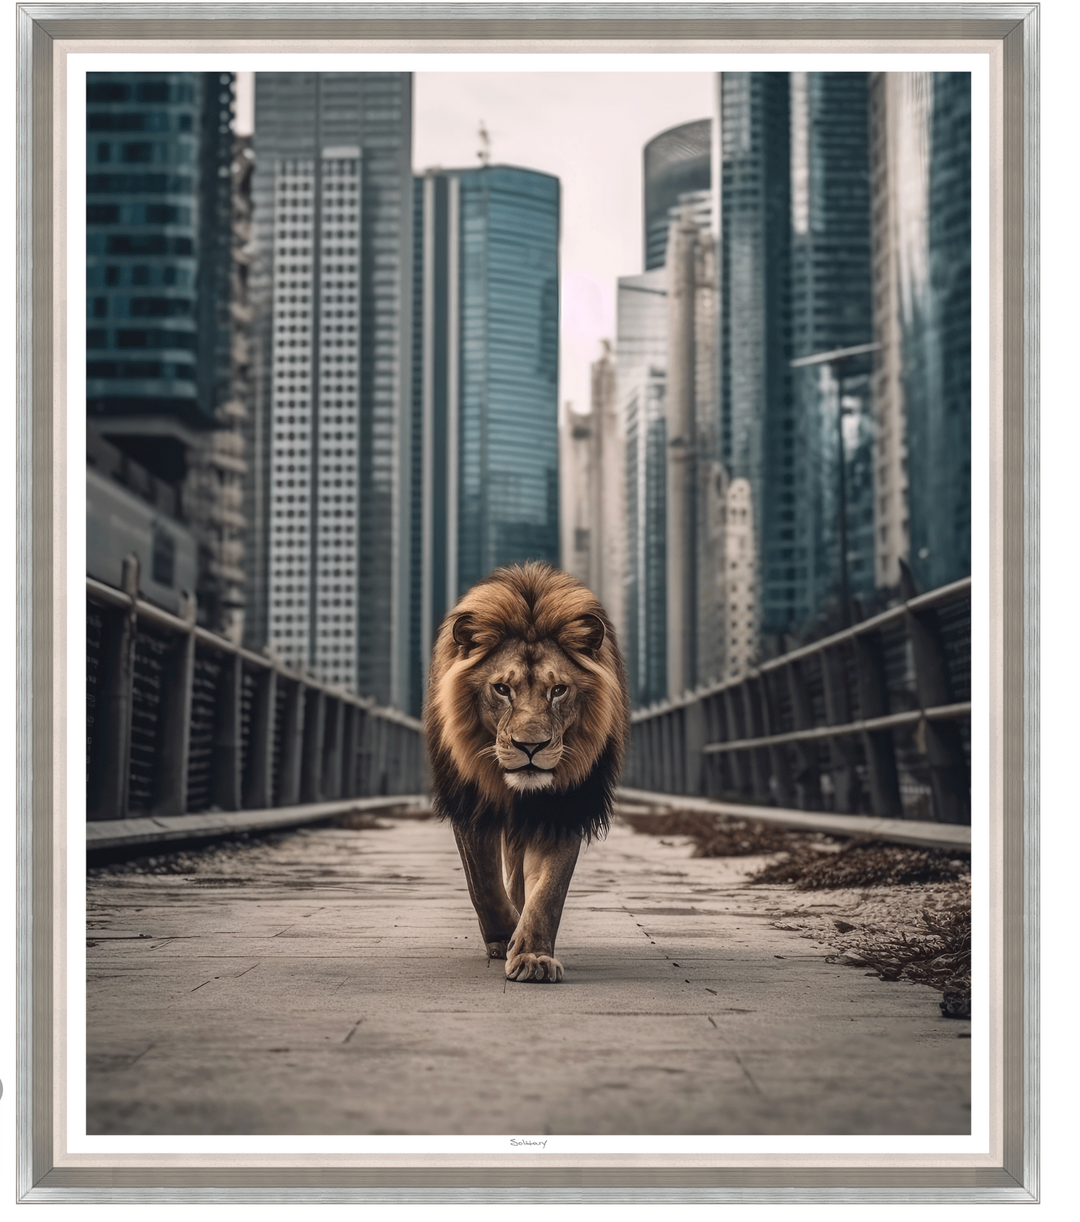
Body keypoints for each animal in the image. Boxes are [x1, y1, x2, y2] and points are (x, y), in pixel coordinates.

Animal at [424, 562, 630, 983]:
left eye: (559, 690)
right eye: (502, 689)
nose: (530, 747)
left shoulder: (562, 807)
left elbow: (548, 891)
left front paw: (533, 954)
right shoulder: (472, 800)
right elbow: (483, 882)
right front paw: (504, 936)